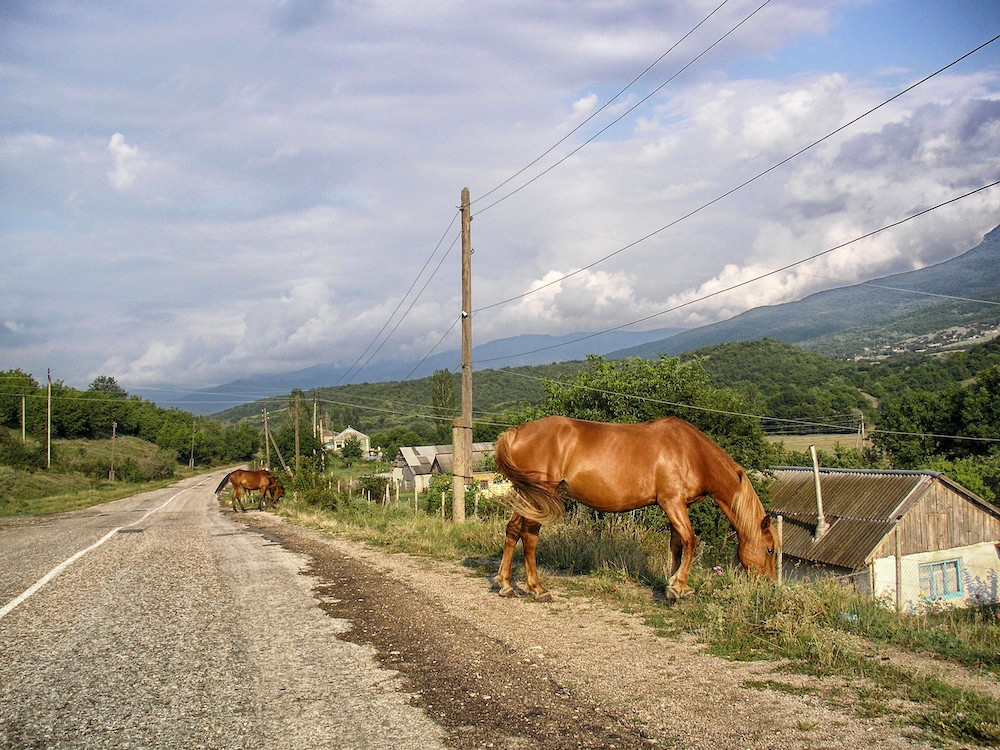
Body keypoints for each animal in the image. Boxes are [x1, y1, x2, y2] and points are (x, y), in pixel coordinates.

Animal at [493, 415, 776, 602]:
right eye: (770, 549)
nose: (769, 585)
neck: (691, 452)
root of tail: (516, 432)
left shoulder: (677, 506)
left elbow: (677, 545)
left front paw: (670, 585)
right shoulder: (672, 502)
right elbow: (690, 541)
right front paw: (680, 587)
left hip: (528, 496)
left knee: (513, 530)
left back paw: (506, 584)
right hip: (540, 496)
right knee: (529, 536)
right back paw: (537, 589)